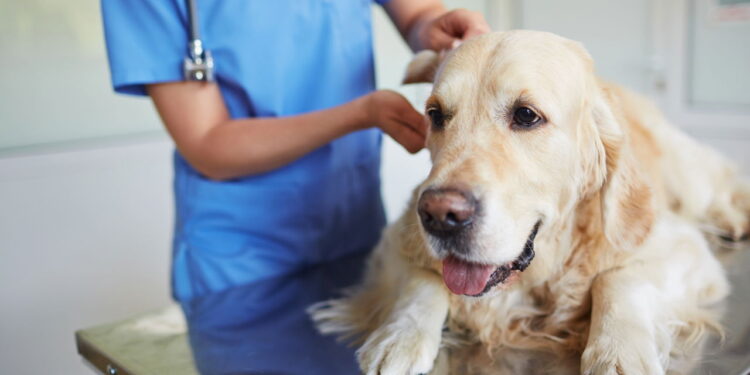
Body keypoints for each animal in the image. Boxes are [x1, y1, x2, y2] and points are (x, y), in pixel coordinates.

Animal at [308, 31, 748, 375]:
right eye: (435, 114)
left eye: (526, 115)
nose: (439, 216)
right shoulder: (393, 241)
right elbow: (423, 281)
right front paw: (399, 337)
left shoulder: (679, 246)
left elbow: (618, 279)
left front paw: (617, 353)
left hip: (688, 175)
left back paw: (733, 218)